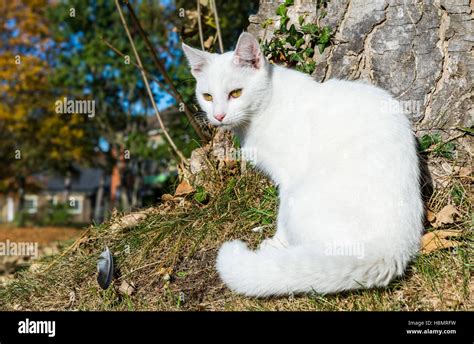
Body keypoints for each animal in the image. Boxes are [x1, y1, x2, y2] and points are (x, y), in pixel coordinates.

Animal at [181, 32, 422, 296]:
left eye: (236, 93)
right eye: (207, 96)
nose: (218, 116)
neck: (264, 108)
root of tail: (391, 251)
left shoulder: (288, 179)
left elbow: (281, 221)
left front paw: (276, 243)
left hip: (302, 198)